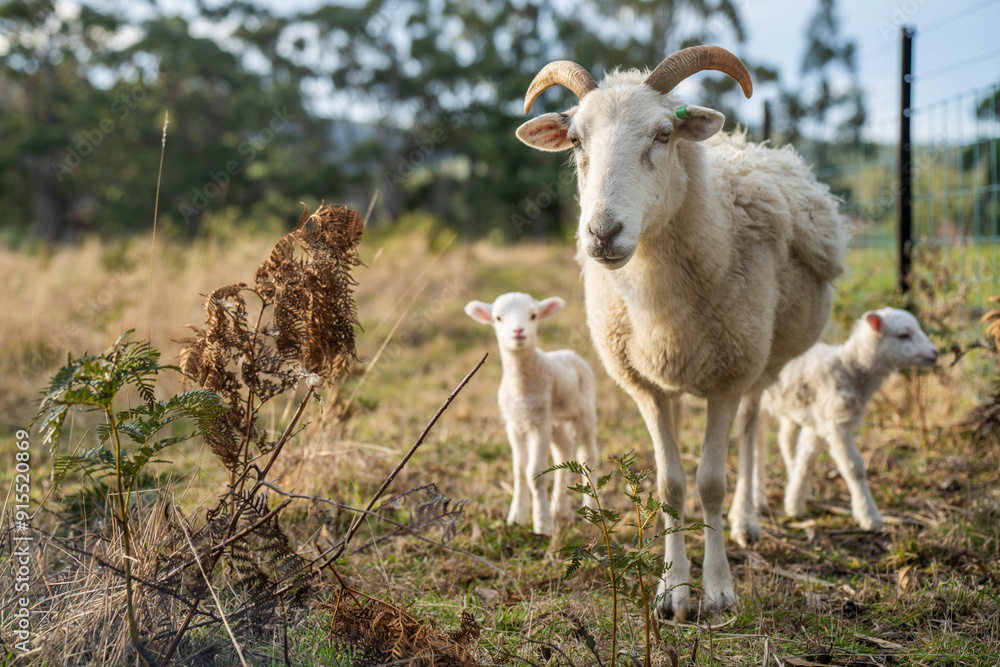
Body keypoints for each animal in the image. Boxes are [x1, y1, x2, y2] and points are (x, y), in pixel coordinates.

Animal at [464, 292, 600, 536]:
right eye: (498, 318)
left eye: (534, 316)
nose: (518, 331)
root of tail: (570, 353)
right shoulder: (515, 424)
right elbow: (519, 472)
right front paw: (516, 517)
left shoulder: (539, 424)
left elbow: (535, 474)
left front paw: (542, 524)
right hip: (554, 418)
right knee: (564, 449)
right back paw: (560, 509)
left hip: (583, 410)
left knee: (587, 454)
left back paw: (590, 513)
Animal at [515, 46, 849, 618]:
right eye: (576, 140)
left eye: (663, 134)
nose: (603, 233)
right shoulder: (644, 386)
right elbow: (671, 484)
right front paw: (672, 591)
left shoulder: (729, 379)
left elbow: (711, 482)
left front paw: (717, 590)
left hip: (762, 357)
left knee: (752, 425)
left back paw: (747, 519)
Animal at [759, 307, 939, 530]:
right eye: (903, 335)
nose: (935, 353)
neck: (847, 368)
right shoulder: (837, 424)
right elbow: (855, 469)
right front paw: (869, 516)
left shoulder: (820, 421)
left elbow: (806, 459)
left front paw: (794, 504)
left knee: (785, 440)